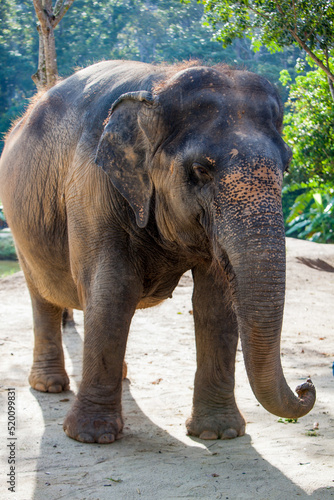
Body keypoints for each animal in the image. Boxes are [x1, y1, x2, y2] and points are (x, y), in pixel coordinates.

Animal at [0, 59, 316, 446]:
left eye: (286, 167)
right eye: (200, 170)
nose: (306, 385)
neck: (158, 84)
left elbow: (216, 300)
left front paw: (219, 433)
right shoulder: (91, 187)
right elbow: (112, 289)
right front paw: (91, 437)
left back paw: (119, 375)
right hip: (20, 225)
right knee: (43, 294)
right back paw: (49, 385)